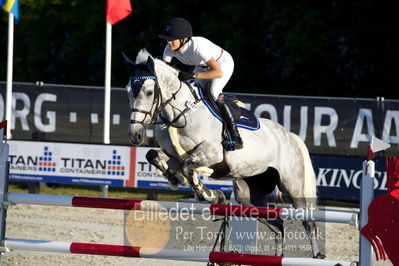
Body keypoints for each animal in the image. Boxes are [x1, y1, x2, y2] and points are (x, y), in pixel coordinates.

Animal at [125, 48, 324, 258]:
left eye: (148, 92)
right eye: (128, 91)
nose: (136, 135)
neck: (181, 113)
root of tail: (290, 136)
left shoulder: (212, 154)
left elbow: (188, 167)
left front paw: (211, 194)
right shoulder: (175, 156)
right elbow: (154, 156)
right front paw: (175, 178)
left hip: (293, 187)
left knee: (308, 223)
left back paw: (317, 256)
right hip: (249, 195)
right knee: (277, 224)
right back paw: (278, 256)